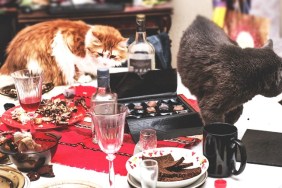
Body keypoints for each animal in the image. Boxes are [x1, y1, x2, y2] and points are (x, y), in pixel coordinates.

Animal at [0, 18, 128, 88]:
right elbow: (77, 69)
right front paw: (83, 78)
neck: (85, 41)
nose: (105, 63)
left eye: (112, 56)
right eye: (100, 54)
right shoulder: (67, 45)